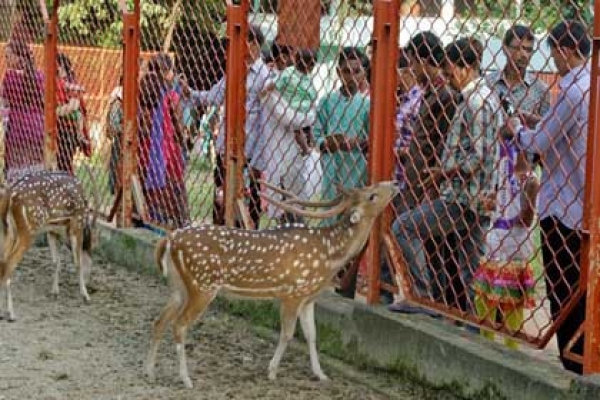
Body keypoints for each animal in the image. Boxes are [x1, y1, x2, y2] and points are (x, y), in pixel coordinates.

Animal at [0, 170, 98, 320]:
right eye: (90, 248)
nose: (91, 288)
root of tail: (10, 195)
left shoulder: (51, 231)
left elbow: (55, 261)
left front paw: (55, 292)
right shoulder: (77, 223)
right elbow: (78, 262)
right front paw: (85, 296)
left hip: (8, 230)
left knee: (3, 261)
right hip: (28, 229)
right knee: (10, 263)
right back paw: (11, 313)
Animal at [145, 180, 398, 388]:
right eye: (372, 195)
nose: (395, 183)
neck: (330, 256)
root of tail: (169, 240)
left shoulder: (309, 298)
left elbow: (312, 335)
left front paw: (321, 374)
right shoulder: (292, 293)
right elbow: (287, 333)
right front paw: (272, 371)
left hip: (179, 287)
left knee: (159, 321)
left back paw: (150, 372)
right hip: (202, 286)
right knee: (179, 325)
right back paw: (186, 379)